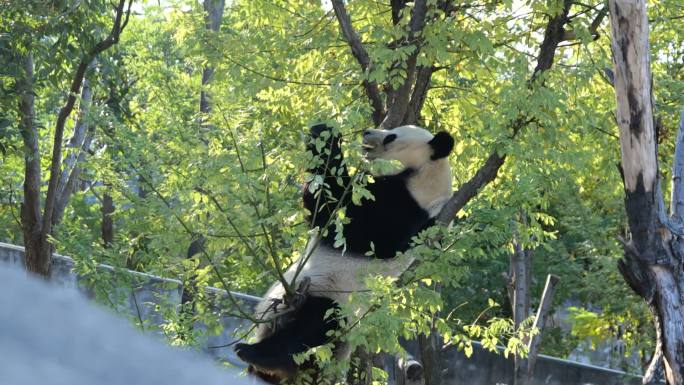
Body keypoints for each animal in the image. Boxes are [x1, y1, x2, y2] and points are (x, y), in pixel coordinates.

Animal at [235, 123, 454, 380]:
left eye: (391, 137)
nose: (367, 132)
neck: (429, 176)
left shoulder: (406, 208)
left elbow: (339, 217)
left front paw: (326, 136)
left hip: (334, 300)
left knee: (314, 329)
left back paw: (258, 354)